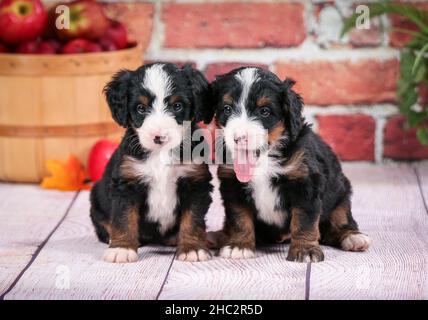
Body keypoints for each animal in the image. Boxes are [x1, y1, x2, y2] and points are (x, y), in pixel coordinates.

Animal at [89, 62, 213, 262]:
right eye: (141, 108)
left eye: (177, 106)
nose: (158, 137)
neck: (160, 153)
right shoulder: (127, 184)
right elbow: (123, 218)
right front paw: (122, 248)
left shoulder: (195, 182)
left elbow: (193, 219)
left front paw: (192, 248)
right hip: (96, 197)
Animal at [209, 67, 370, 262]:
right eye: (227, 108)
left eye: (264, 111)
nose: (239, 138)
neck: (264, 159)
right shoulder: (232, 184)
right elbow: (239, 218)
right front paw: (239, 245)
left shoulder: (305, 184)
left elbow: (304, 221)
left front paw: (305, 249)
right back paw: (217, 236)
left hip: (341, 194)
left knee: (340, 220)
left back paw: (353, 237)